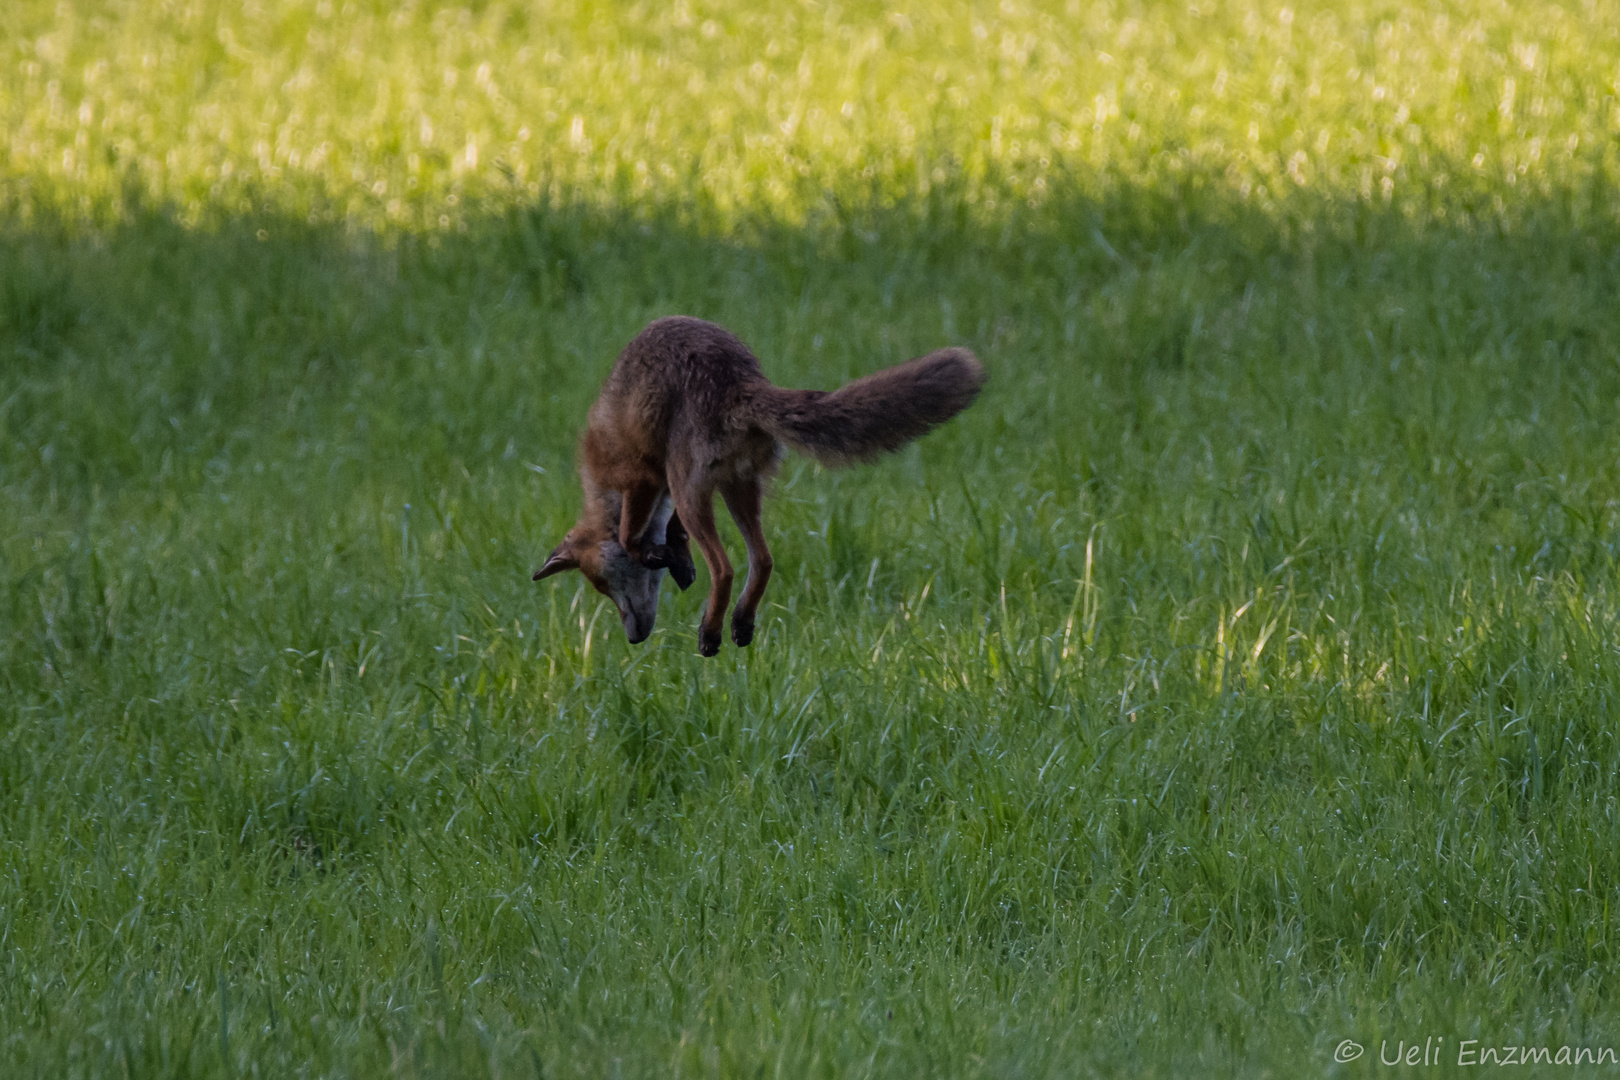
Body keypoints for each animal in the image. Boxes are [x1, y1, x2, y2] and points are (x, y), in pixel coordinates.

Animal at [534, 317, 984, 654]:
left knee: (726, 568)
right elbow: (671, 534)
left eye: (605, 586)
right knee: (763, 560)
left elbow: (629, 537)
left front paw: (656, 555)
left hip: (695, 489)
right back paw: (740, 623)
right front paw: (677, 560)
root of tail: (740, 379)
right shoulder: (665, 493)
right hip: (739, 488)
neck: (601, 486)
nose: (633, 638)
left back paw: (710, 633)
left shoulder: (644, 477)